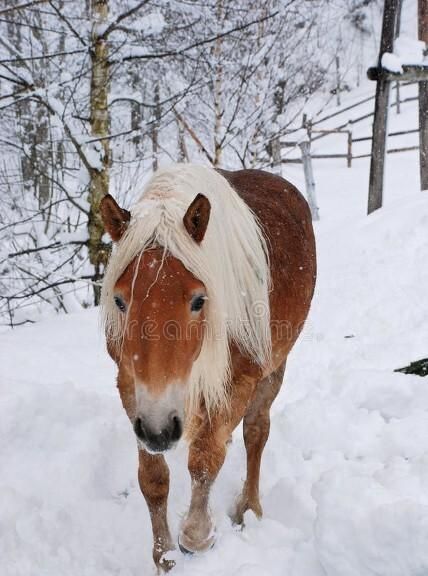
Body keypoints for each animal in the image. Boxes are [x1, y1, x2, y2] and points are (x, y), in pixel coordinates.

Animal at [98, 163, 316, 572]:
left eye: (199, 300)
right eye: (119, 301)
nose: (160, 431)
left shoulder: (239, 381)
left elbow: (205, 460)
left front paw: (197, 536)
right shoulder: (132, 386)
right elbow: (153, 478)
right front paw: (164, 556)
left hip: (272, 370)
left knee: (255, 432)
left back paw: (249, 508)